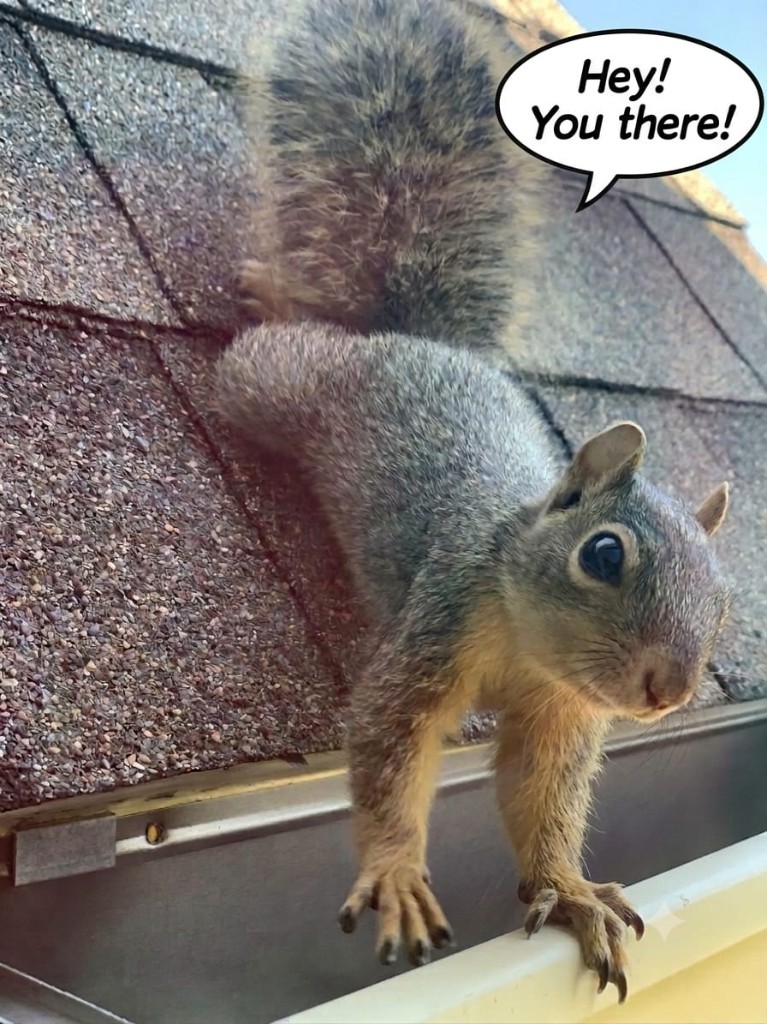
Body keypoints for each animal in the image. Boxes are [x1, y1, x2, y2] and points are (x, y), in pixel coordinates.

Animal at [220, 0, 732, 1004]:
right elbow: (389, 745)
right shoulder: (437, 621)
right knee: (255, 359)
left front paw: (570, 891)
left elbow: (538, 800)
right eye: (603, 554)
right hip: (278, 384)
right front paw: (394, 875)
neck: (531, 650)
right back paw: (259, 298)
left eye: (723, 601)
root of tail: (420, 341)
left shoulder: (562, 720)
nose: (668, 691)